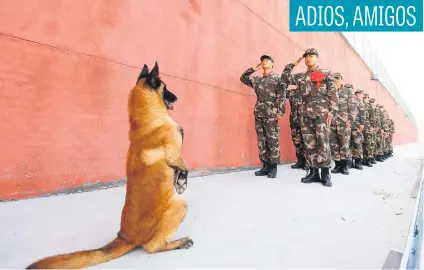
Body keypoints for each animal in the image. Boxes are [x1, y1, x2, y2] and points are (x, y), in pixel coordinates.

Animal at [26, 62, 192, 268]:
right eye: (166, 87)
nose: (176, 97)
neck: (148, 121)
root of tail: (126, 237)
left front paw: (179, 181)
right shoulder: (174, 153)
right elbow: (184, 164)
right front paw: (182, 180)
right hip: (179, 206)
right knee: (152, 247)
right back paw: (179, 242)